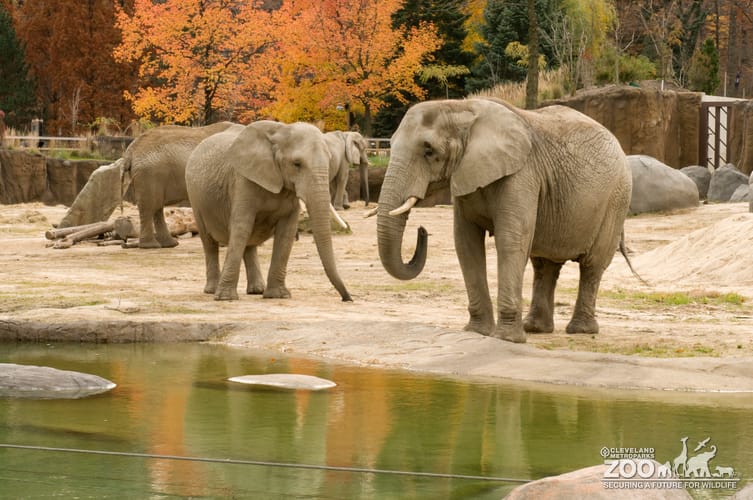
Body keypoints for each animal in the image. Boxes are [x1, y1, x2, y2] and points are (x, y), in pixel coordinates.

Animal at [185, 120, 352, 302]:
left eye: (329, 162)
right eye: (297, 164)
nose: (347, 298)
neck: (281, 131)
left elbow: (286, 232)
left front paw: (278, 295)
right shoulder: (243, 181)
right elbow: (241, 227)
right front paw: (225, 298)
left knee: (249, 241)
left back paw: (256, 290)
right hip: (195, 198)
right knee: (209, 242)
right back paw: (212, 290)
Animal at [376, 98, 632, 343]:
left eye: (428, 150)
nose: (422, 229)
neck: (460, 106)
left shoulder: (522, 174)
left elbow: (511, 242)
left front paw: (506, 338)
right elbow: (466, 244)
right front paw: (477, 332)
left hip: (616, 198)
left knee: (592, 265)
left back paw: (580, 330)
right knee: (544, 265)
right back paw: (535, 328)